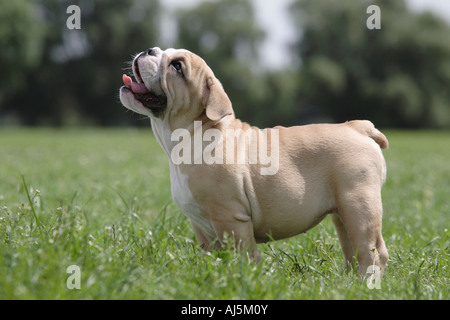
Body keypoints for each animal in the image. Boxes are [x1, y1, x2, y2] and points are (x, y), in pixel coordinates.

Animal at [119, 47, 390, 276]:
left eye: (177, 67)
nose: (149, 50)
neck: (192, 135)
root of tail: (358, 127)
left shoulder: (231, 218)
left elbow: (243, 255)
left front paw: (244, 277)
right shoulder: (202, 227)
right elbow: (213, 256)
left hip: (358, 204)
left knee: (372, 251)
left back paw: (366, 283)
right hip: (342, 214)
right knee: (352, 249)